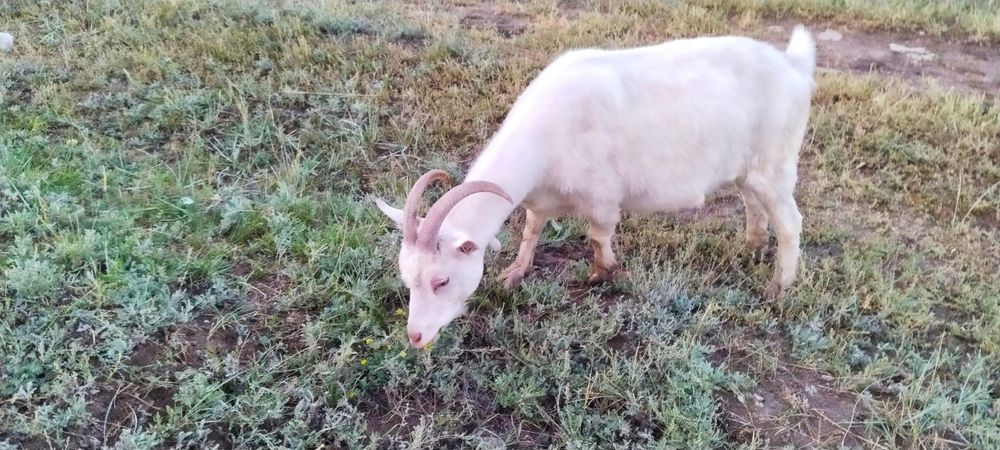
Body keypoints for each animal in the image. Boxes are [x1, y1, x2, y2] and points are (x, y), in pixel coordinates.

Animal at [375, 26, 816, 348]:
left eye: (442, 281)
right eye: (407, 279)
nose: (415, 337)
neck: (548, 133)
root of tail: (794, 67)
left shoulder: (602, 197)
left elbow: (598, 235)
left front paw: (601, 273)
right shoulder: (540, 199)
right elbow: (532, 228)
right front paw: (516, 271)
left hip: (775, 166)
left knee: (791, 222)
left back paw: (778, 287)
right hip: (746, 169)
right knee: (752, 202)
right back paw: (751, 247)